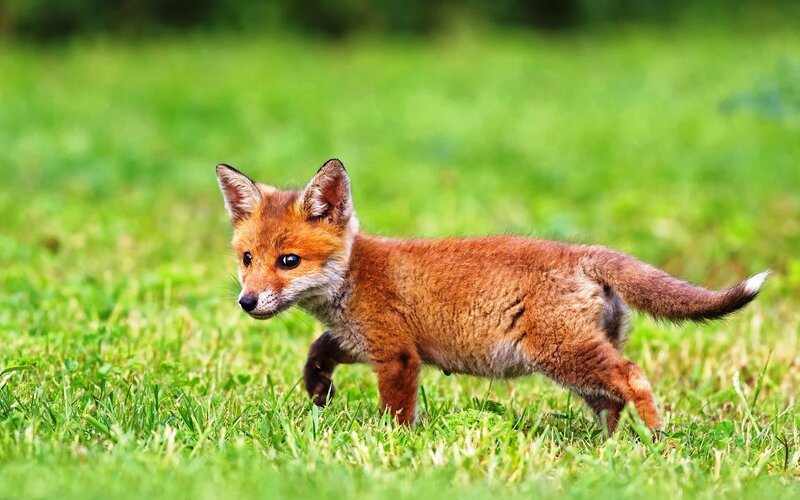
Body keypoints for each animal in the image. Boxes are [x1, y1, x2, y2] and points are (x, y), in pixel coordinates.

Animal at [216, 158, 768, 433]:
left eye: (289, 261)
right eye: (248, 259)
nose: (247, 302)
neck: (353, 275)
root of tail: (583, 252)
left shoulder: (396, 354)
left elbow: (397, 413)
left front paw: (394, 448)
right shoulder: (362, 341)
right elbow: (318, 351)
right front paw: (319, 391)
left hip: (563, 354)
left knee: (633, 377)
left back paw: (656, 441)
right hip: (577, 364)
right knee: (611, 400)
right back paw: (606, 451)